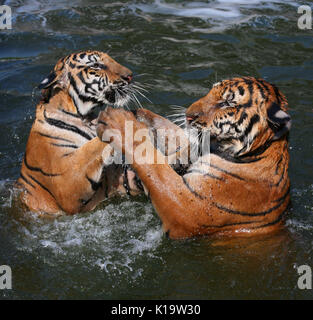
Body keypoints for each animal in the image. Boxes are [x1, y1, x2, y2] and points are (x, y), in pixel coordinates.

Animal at [16, 50, 143, 215]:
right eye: (96, 65)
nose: (130, 76)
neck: (86, 118)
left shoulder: (111, 179)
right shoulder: (67, 181)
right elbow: (91, 149)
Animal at [96, 76, 292, 239]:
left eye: (227, 103)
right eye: (210, 93)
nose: (188, 116)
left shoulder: (189, 211)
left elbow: (155, 168)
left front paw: (120, 123)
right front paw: (140, 114)